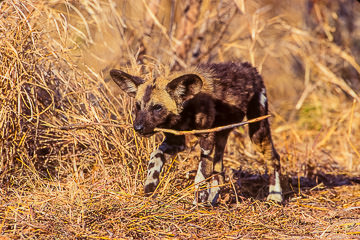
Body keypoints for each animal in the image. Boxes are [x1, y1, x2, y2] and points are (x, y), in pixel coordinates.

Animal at [110, 62, 284, 204]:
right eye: (138, 106)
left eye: (157, 107)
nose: (138, 127)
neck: (186, 108)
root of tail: (249, 67)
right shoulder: (176, 142)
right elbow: (155, 155)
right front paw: (150, 183)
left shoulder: (206, 140)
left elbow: (201, 173)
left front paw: (197, 201)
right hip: (221, 136)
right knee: (219, 171)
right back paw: (212, 200)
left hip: (257, 132)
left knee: (273, 159)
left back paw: (275, 197)